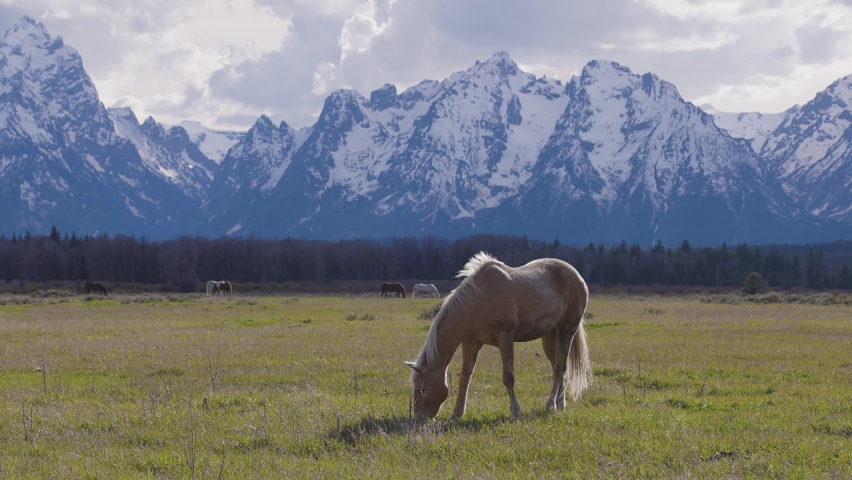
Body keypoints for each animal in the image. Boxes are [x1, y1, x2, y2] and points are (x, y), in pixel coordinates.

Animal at [405, 252, 591, 420]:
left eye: (421, 389)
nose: (419, 417)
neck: (479, 300)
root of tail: (577, 276)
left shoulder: (505, 338)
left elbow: (508, 377)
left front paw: (516, 411)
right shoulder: (471, 342)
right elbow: (464, 378)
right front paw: (456, 415)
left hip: (567, 329)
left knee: (560, 367)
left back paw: (551, 404)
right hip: (550, 335)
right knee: (557, 366)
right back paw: (560, 404)